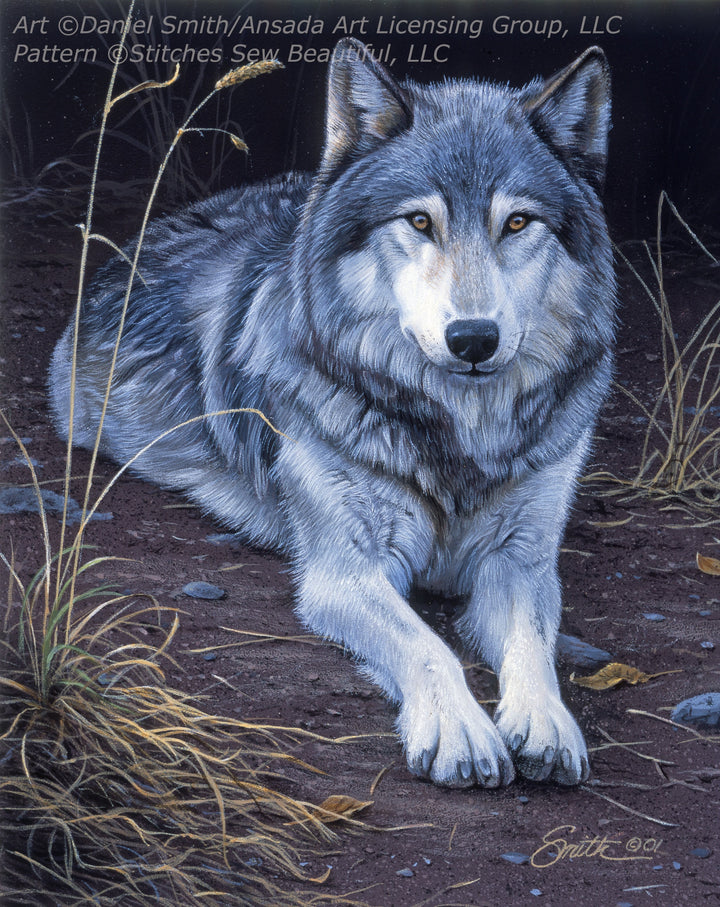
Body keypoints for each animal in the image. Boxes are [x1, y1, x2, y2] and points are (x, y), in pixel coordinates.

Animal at [50, 38, 615, 788]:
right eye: (419, 221)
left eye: (517, 222)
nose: (473, 338)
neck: (457, 441)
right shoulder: (346, 572)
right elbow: (429, 644)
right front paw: (461, 730)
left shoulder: (518, 563)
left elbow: (533, 645)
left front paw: (545, 723)